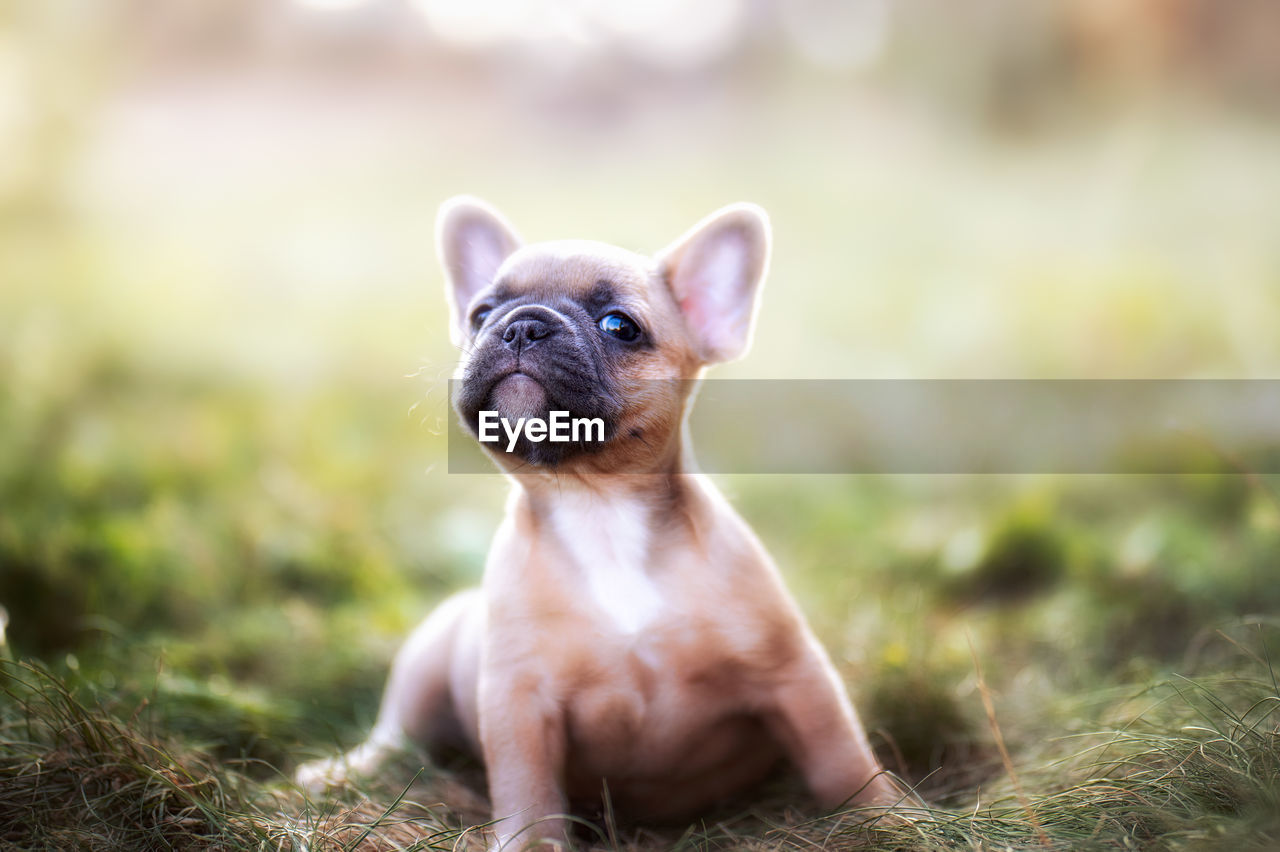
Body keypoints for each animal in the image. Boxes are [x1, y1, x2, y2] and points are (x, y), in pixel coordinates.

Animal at [296, 197, 901, 844]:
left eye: (619, 326)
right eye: (481, 313)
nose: (521, 325)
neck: (598, 506)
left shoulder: (795, 676)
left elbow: (841, 758)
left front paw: (891, 821)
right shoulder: (519, 702)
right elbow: (528, 793)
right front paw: (530, 846)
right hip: (426, 662)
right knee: (393, 735)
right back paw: (338, 772)